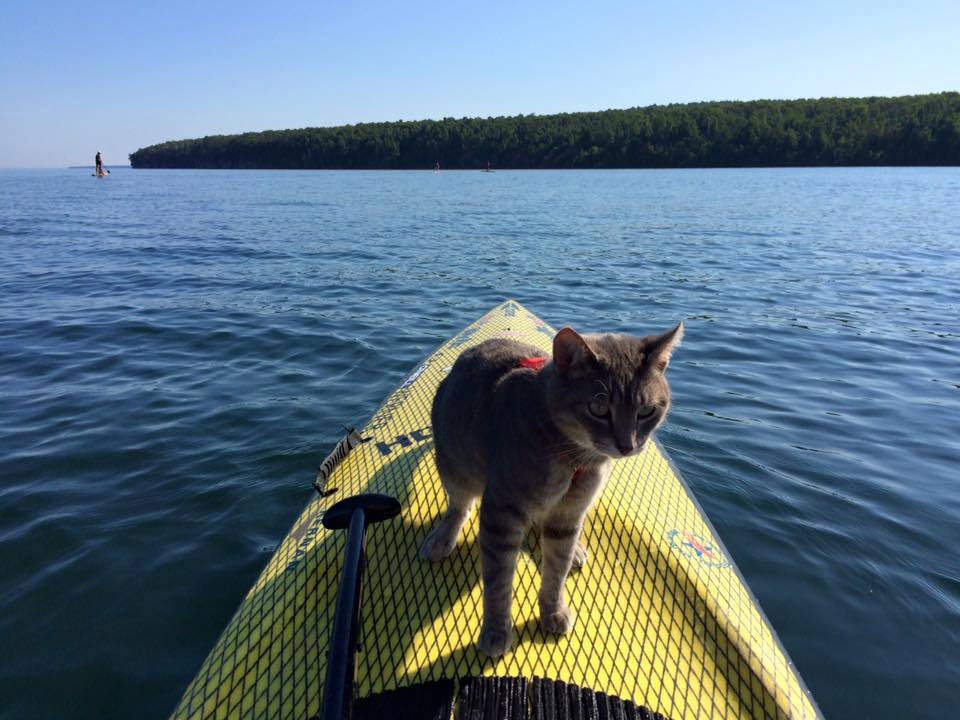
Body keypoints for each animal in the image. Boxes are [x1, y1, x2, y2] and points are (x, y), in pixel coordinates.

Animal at [420, 324, 684, 660]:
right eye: (599, 408)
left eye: (647, 410)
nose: (627, 446)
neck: (573, 457)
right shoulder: (501, 513)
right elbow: (498, 582)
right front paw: (496, 630)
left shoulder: (568, 515)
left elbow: (556, 570)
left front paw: (553, 611)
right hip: (454, 465)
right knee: (460, 506)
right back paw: (443, 537)